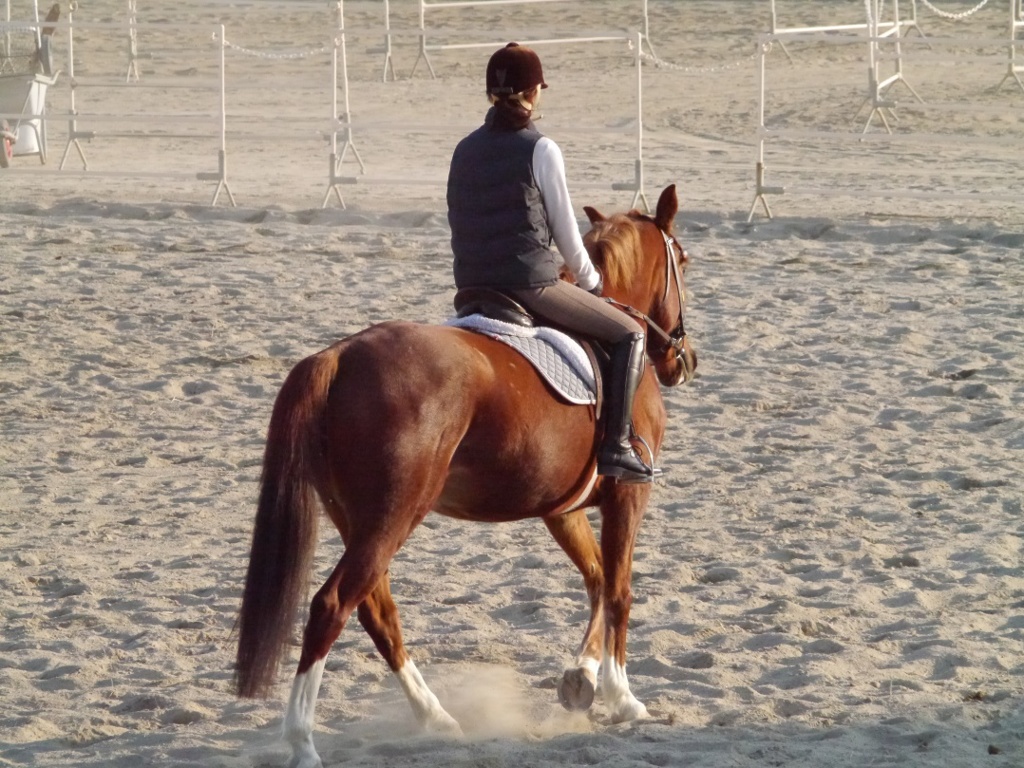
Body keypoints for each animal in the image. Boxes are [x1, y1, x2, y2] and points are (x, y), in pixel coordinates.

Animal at [235, 184, 697, 768]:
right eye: (684, 260)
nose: (684, 359)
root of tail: (336, 356)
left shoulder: (561, 509)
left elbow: (595, 578)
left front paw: (581, 679)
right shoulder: (628, 496)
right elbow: (619, 588)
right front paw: (623, 697)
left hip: (360, 521)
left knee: (376, 611)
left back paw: (437, 719)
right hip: (393, 516)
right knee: (332, 606)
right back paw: (302, 742)